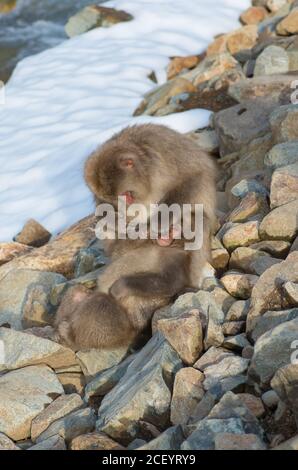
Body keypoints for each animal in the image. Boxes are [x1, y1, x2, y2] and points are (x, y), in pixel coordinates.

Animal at [54, 123, 217, 350]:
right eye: (111, 199)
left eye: (127, 194)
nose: (124, 206)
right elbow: (117, 242)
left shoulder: (170, 154)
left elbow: (192, 179)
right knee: (77, 292)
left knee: (101, 305)